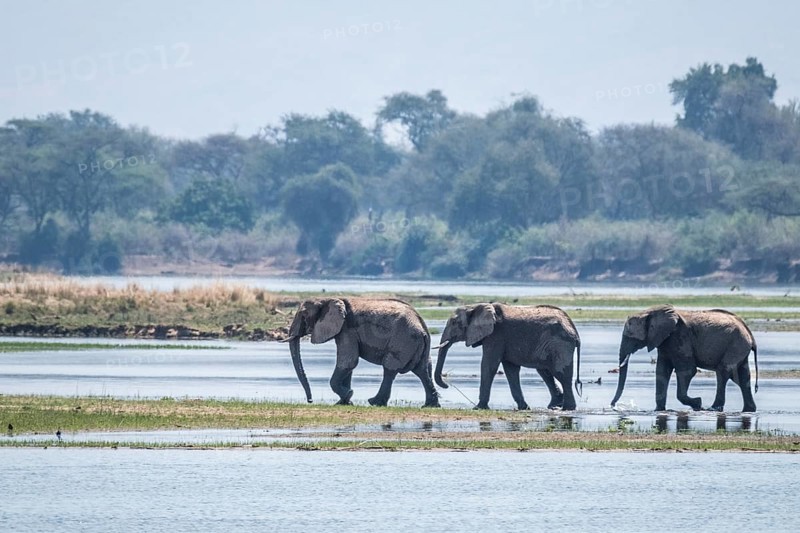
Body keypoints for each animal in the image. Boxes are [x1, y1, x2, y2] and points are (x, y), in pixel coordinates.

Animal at [284, 297, 440, 407]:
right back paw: (430, 405)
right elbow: (349, 366)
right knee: (423, 370)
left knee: (390, 368)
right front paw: (344, 402)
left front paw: (348, 395)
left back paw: (375, 402)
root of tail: (424, 330)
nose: (310, 400)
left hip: (403, 341)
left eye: (304, 316)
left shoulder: (347, 329)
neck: (329, 299)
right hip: (415, 345)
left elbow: (348, 361)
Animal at [434, 303, 582, 410]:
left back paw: (567, 408)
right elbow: (511, 370)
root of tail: (575, 331)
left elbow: (489, 365)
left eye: (454, 323)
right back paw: (554, 406)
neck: (476, 306)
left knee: (561, 374)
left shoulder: (496, 335)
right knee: (545, 372)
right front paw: (524, 408)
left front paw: (478, 408)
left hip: (560, 344)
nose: (446, 385)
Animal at [610, 305, 758, 412]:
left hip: (736, 343)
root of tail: (750, 333)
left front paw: (698, 403)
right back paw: (749, 410)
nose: (613, 406)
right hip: (739, 347)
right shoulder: (664, 341)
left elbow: (687, 371)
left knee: (723, 372)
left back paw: (713, 409)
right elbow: (662, 371)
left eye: (630, 336)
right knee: (742, 377)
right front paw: (659, 410)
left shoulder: (679, 337)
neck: (650, 312)